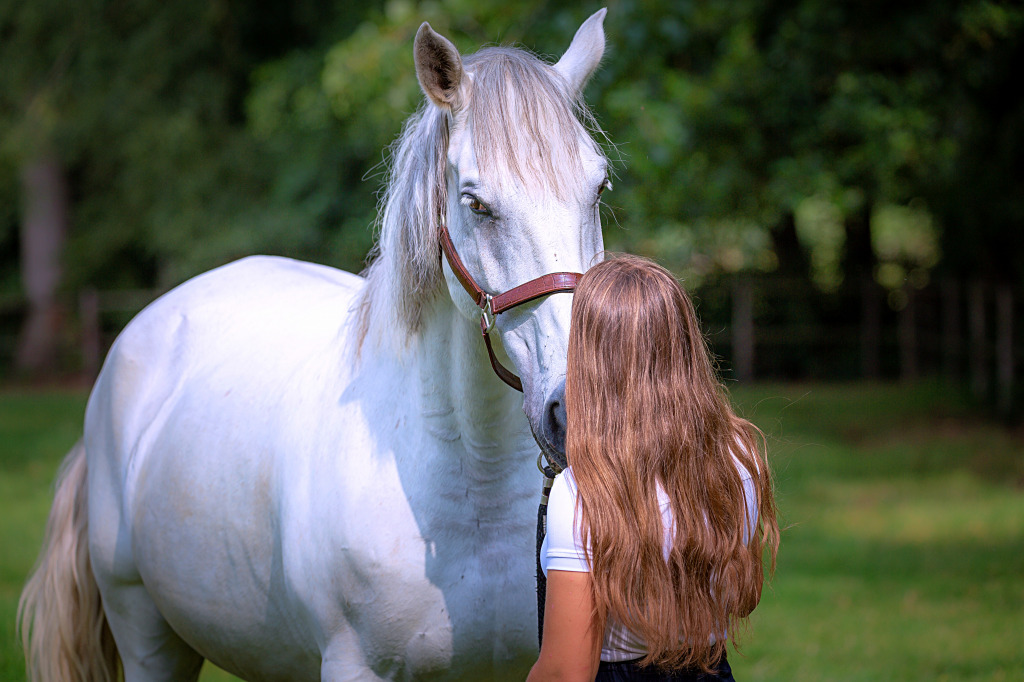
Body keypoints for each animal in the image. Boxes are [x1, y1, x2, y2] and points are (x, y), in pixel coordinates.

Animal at [19, 9, 611, 682]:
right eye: (476, 203)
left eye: (598, 188)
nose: (576, 405)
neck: (471, 488)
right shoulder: (353, 664)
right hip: (145, 634)